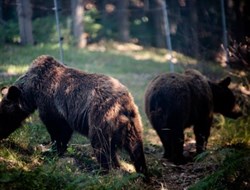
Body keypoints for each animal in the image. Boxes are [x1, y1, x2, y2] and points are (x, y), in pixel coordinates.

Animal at [0, 54, 147, 175]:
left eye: (4, 114)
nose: (2, 135)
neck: (32, 89)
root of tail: (125, 102)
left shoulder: (51, 105)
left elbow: (57, 129)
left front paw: (52, 150)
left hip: (101, 116)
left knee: (100, 143)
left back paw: (102, 169)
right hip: (133, 122)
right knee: (136, 147)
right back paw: (141, 171)